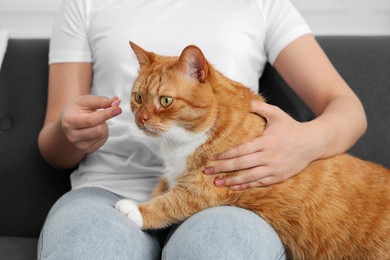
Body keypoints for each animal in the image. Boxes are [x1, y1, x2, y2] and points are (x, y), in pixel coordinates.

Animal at [116, 41, 390, 258]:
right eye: (138, 97)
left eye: (165, 101)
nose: (141, 119)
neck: (179, 142)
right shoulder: (171, 176)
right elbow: (159, 191)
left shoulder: (207, 187)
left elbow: (169, 203)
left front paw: (136, 210)